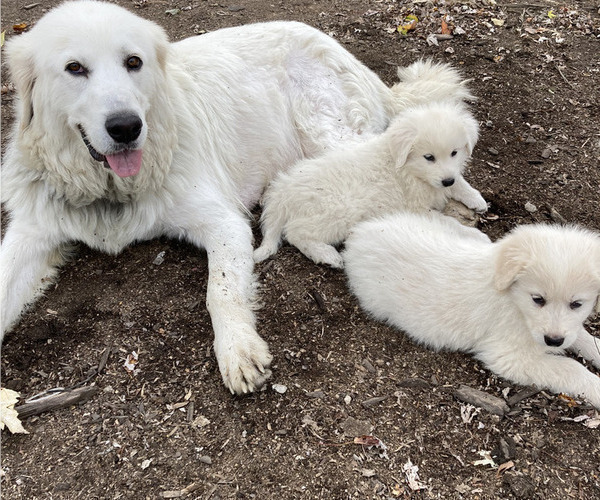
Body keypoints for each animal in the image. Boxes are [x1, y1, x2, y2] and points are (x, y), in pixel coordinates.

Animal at [0, 1, 410, 396]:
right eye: (74, 68)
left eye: (133, 62)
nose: (127, 127)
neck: (112, 190)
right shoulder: (33, 229)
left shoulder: (224, 222)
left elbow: (221, 290)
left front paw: (238, 350)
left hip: (330, 137)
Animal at [254, 99, 488, 268]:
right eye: (429, 157)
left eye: (454, 153)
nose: (446, 180)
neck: (408, 170)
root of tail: (282, 191)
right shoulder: (416, 210)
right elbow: (449, 222)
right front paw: (476, 236)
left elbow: (460, 183)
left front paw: (477, 199)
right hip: (337, 211)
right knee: (296, 232)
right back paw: (327, 255)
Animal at [344, 212, 600, 410]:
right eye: (538, 299)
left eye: (576, 304)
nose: (554, 341)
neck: (513, 300)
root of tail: (359, 233)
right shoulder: (509, 356)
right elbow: (570, 368)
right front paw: (596, 388)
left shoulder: (569, 330)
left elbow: (584, 338)